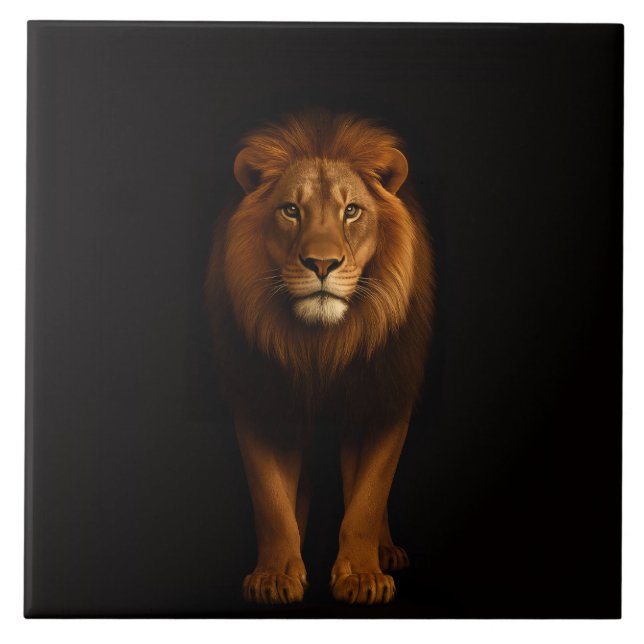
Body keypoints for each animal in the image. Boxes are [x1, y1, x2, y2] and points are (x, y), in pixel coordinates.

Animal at [206, 109, 434, 605]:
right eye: (291, 209)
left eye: (352, 211)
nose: (323, 264)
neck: (320, 347)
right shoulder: (261, 400)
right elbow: (270, 501)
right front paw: (275, 576)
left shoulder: (384, 399)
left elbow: (368, 498)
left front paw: (363, 577)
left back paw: (386, 553)